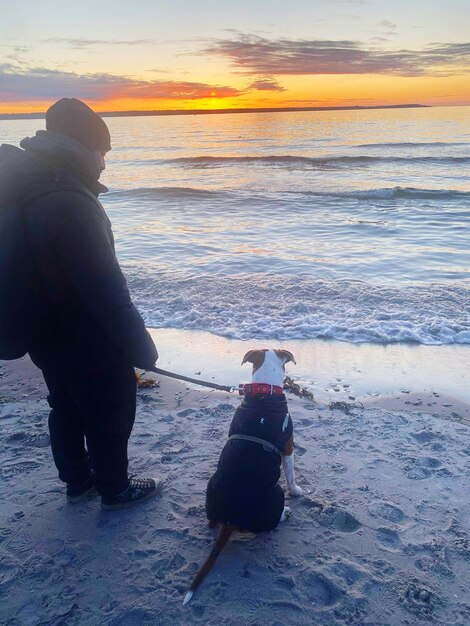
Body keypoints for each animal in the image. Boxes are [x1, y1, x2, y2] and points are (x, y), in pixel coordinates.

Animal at [182, 348, 302, 604]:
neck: (264, 393)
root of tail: (230, 519)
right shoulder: (288, 445)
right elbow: (290, 473)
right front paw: (296, 491)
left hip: (212, 486)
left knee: (211, 522)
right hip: (275, 494)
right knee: (270, 522)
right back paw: (284, 513)